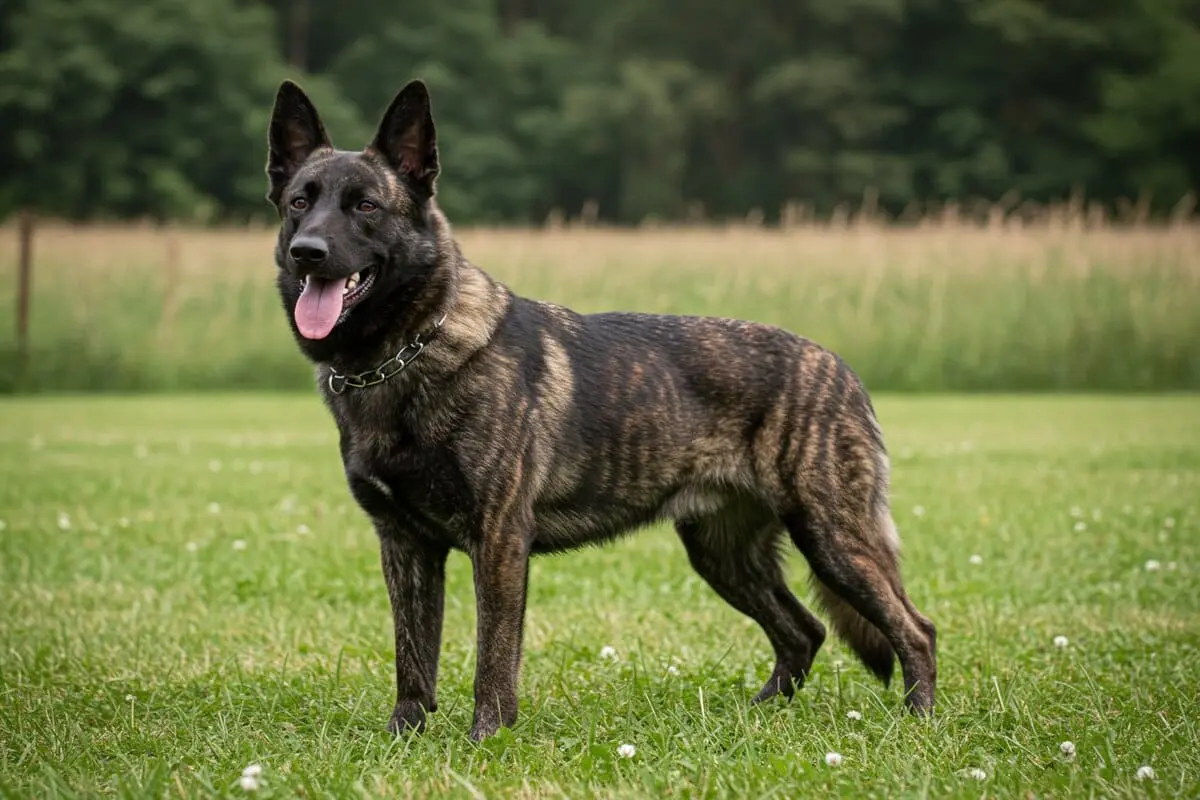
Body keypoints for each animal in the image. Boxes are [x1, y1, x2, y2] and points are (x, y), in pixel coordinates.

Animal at [262, 77, 936, 743]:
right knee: (805, 631)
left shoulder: (498, 540)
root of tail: (839, 367)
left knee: (915, 629)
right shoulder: (404, 546)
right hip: (723, 555)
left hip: (832, 538)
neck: (406, 352)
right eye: (299, 202)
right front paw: (404, 738)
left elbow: (492, 657)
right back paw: (758, 718)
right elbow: (414, 657)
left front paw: (487, 739)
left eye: (366, 206)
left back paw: (919, 721)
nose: (307, 253)